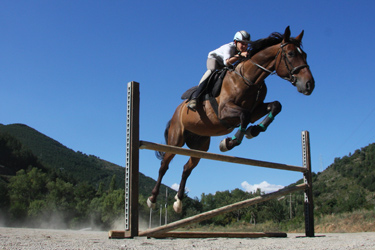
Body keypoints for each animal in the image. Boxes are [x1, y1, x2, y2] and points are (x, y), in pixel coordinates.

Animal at [146, 26, 314, 213]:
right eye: (291, 54)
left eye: (305, 54)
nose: (309, 85)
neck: (249, 78)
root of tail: (176, 111)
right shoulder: (225, 111)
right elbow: (244, 116)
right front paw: (229, 142)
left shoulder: (255, 110)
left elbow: (275, 106)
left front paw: (253, 131)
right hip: (176, 139)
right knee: (164, 166)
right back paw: (152, 199)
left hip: (200, 146)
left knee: (186, 169)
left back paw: (178, 202)